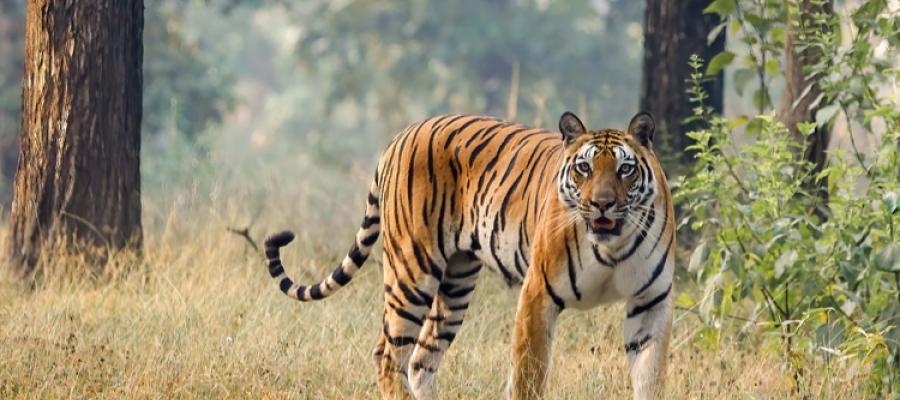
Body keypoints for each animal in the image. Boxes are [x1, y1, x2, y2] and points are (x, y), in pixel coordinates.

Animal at [264, 111, 675, 400]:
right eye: (584, 168)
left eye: (625, 169)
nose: (602, 204)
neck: (611, 246)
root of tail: (403, 133)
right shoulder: (538, 294)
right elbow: (528, 376)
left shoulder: (650, 302)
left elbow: (650, 376)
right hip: (412, 271)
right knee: (387, 354)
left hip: (456, 283)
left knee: (421, 360)